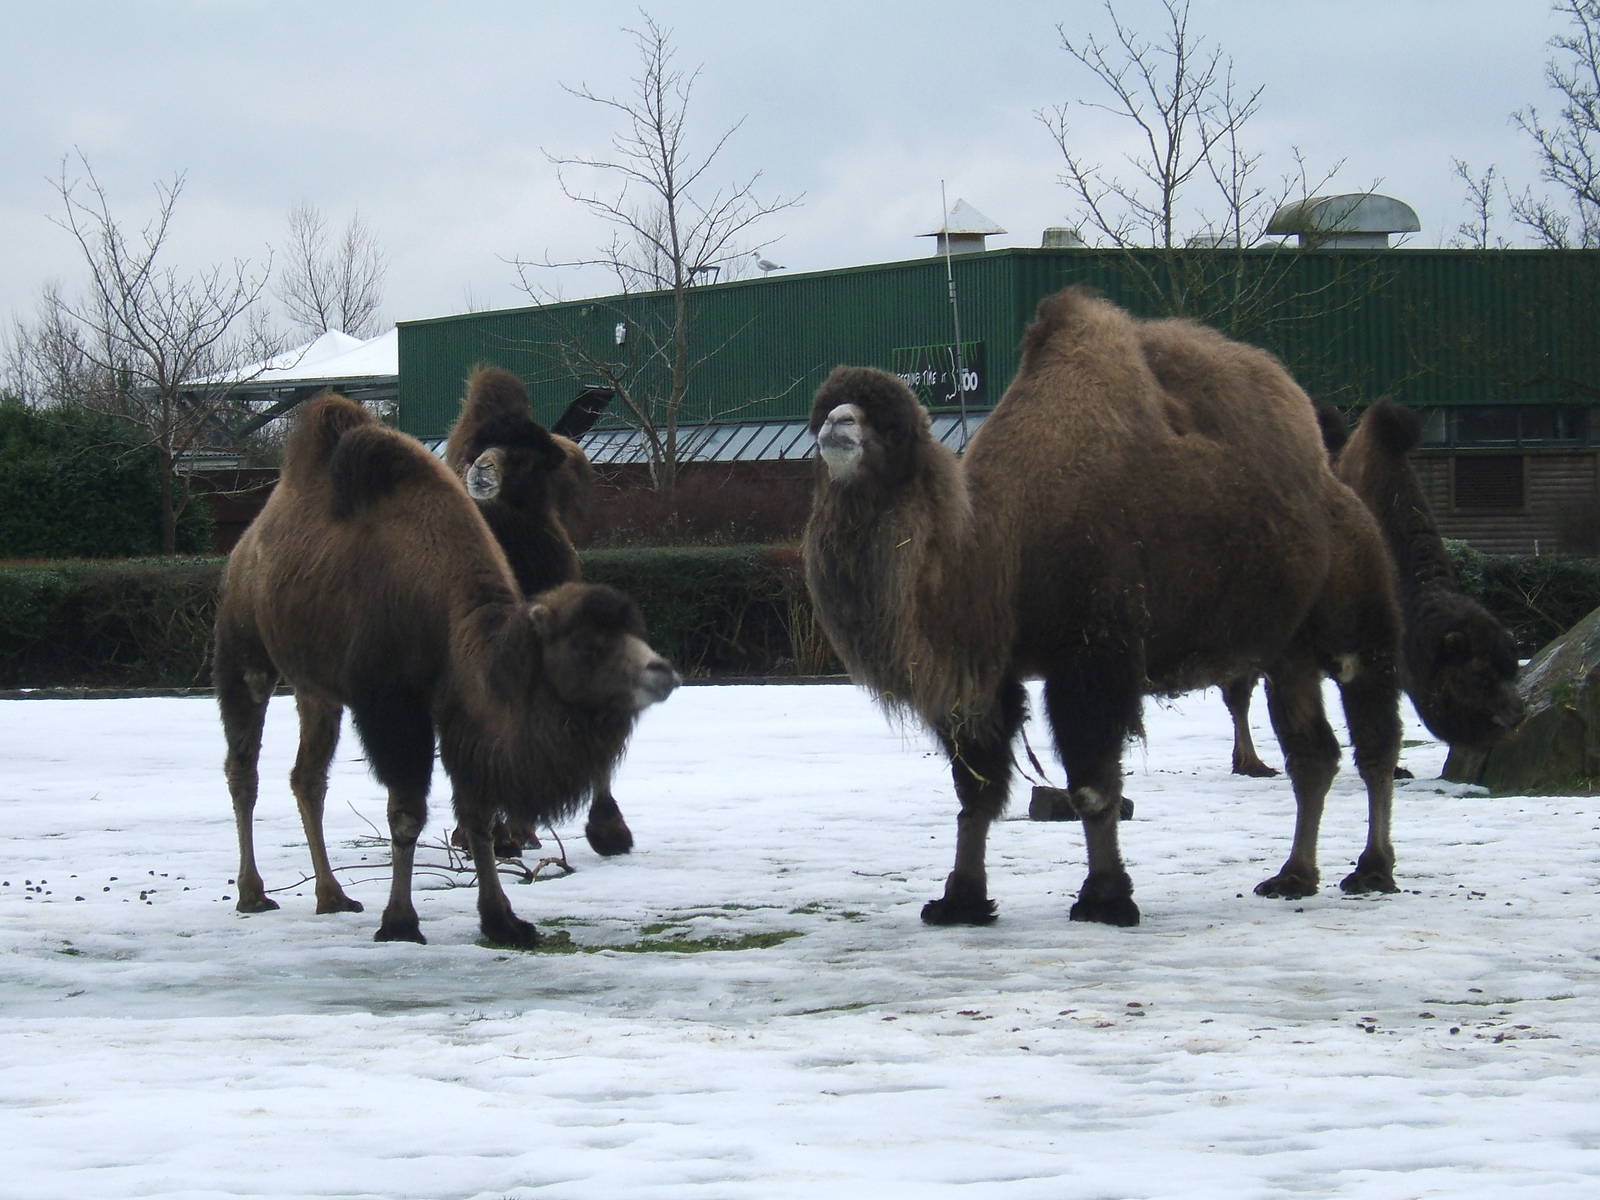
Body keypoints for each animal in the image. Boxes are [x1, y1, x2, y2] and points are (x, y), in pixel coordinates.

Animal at [803, 286, 1403, 927]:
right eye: (827, 409)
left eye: (892, 428)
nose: (838, 425)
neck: (1002, 546)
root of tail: (1339, 494)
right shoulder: (987, 679)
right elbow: (976, 794)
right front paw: (960, 900)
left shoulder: (1093, 657)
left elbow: (1092, 785)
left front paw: (1106, 897)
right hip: (1285, 652)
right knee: (1312, 755)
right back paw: (1294, 876)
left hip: (1358, 626)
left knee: (1374, 742)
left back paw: (1372, 870)